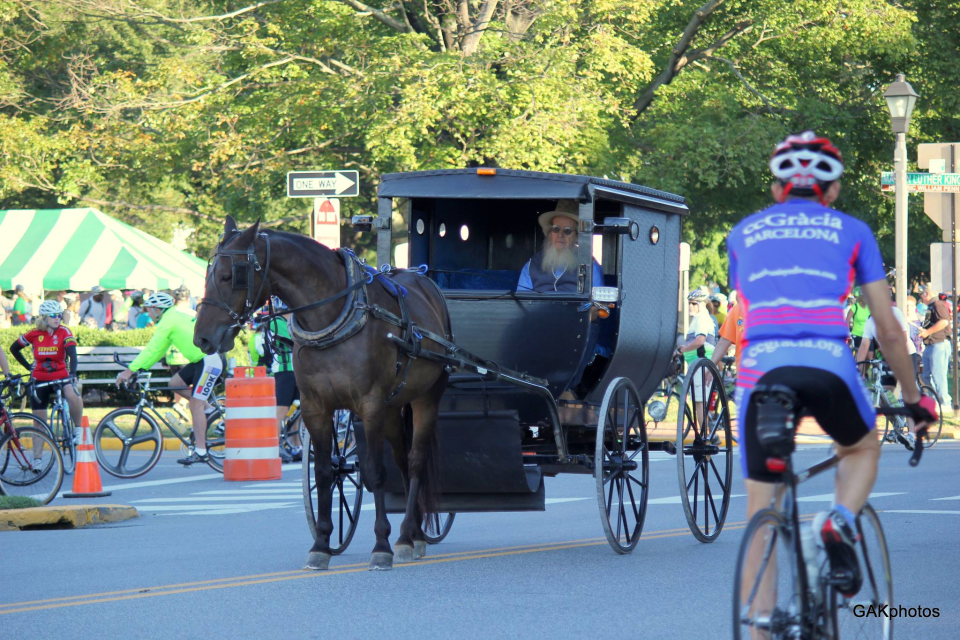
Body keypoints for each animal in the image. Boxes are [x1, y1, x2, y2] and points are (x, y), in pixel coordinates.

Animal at [196, 216, 454, 568]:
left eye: (229, 275)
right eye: (207, 275)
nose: (201, 338)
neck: (331, 316)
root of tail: (425, 280)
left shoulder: (370, 406)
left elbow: (374, 472)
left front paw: (381, 545)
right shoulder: (315, 407)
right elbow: (323, 473)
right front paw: (321, 543)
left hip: (426, 397)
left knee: (415, 462)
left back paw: (403, 536)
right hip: (392, 408)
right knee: (402, 461)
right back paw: (413, 533)